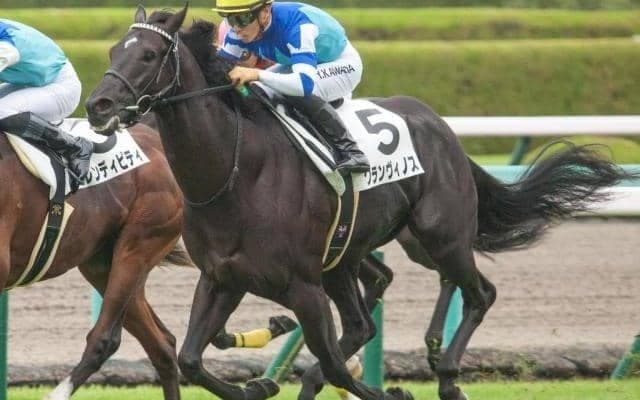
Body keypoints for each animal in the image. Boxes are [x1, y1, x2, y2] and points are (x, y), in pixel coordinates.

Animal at [85, 6, 634, 400]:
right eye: (113, 49)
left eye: (149, 55)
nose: (98, 105)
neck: (237, 174)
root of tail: (441, 127)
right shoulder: (223, 277)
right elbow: (192, 359)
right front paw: (258, 384)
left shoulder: (303, 286)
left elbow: (331, 362)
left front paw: (390, 391)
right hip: (347, 259)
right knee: (370, 316)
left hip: (440, 235)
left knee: (479, 293)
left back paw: (448, 374)